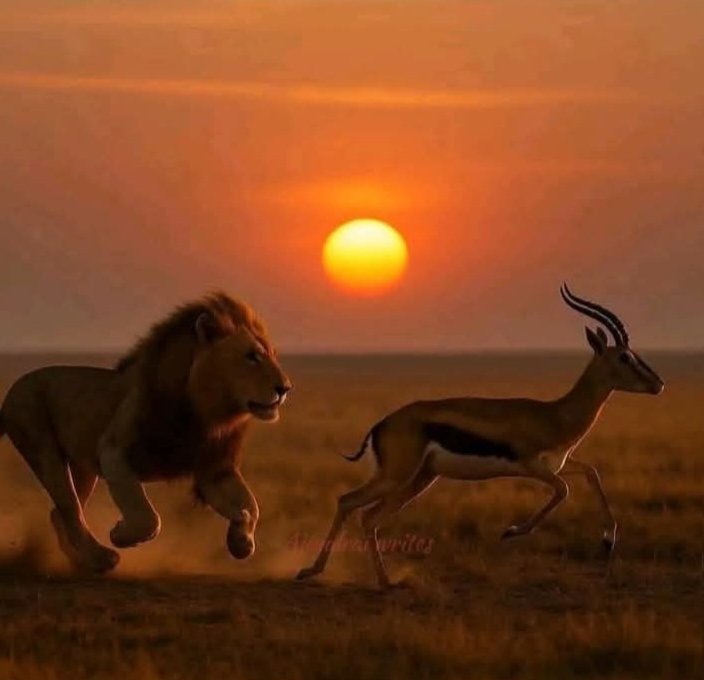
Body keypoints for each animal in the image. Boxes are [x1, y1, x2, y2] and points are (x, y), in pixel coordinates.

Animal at [0, 292, 292, 573]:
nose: (285, 388)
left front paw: (241, 541)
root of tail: (11, 391)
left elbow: (251, 505)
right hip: (41, 443)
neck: (205, 412)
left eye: (273, 355)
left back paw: (84, 562)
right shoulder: (114, 451)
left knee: (59, 513)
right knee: (70, 508)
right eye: (251, 356)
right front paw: (120, 534)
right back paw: (102, 558)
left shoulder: (215, 469)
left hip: (83, 468)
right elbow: (147, 517)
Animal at [296, 285, 664, 588]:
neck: (555, 415)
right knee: (352, 504)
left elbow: (591, 473)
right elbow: (563, 491)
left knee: (367, 514)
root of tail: (381, 424)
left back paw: (355, 577)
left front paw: (608, 539)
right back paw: (348, 576)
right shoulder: (532, 466)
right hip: (397, 476)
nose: (658, 384)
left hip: (420, 479)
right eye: (624, 356)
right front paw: (510, 531)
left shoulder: (558, 463)